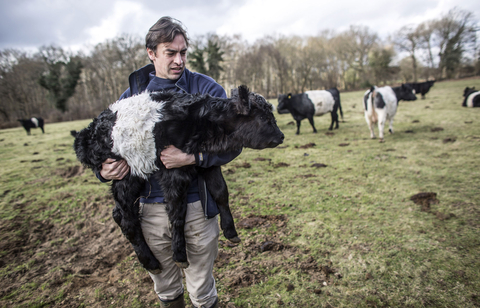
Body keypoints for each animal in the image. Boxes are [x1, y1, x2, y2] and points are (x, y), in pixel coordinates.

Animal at [73, 85, 284, 274]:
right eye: (264, 118)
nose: (281, 136)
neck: (201, 123)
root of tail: (86, 134)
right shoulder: (173, 172)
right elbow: (177, 213)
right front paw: (179, 255)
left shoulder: (206, 164)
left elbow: (221, 193)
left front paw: (231, 231)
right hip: (126, 173)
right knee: (126, 218)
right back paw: (150, 262)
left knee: (119, 213)